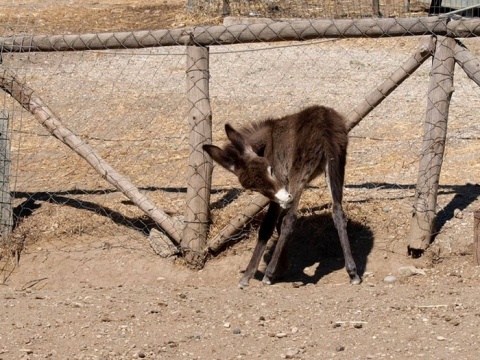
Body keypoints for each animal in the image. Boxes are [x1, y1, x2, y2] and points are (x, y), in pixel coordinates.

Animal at [202, 104, 360, 286]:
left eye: (271, 170)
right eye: (253, 188)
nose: (286, 198)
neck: (267, 140)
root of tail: (323, 121)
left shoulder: (283, 184)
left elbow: (268, 226)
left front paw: (249, 275)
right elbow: (277, 223)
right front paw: (282, 267)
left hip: (299, 172)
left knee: (289, 219)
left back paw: (268, 274)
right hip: (336, 164)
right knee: (338, 213)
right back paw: (353, 272)